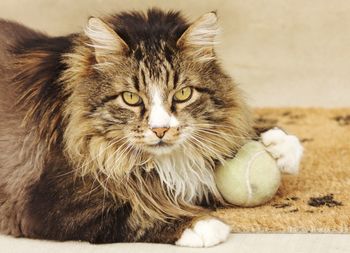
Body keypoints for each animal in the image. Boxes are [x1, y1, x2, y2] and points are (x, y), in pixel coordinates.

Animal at [0, 8, 302, 247]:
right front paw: (200, 225)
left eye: (183, 94)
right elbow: (134, 212)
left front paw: (278, 145)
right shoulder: (45, 204)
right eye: (131, 98)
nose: (160, 130)